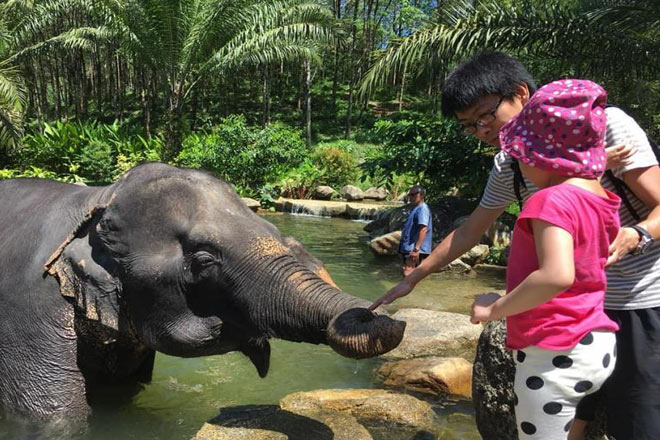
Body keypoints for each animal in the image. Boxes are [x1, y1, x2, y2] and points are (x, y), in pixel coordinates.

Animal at [0, 162, 405, 429]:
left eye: (275, 231)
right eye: (203, 260)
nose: (377, 313)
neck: (98, 198)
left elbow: (121, 393)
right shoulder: (28, 314)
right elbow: (53, 418)